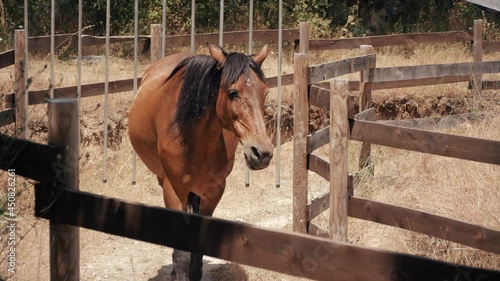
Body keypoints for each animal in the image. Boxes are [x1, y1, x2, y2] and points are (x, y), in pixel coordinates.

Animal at [127, 44, 272, 280]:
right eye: (233, 93)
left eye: (265, 93)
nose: (262, 153)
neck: (194, 137)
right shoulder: (173, 190)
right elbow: (180, 253)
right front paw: (179, 270)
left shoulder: (214, 191)